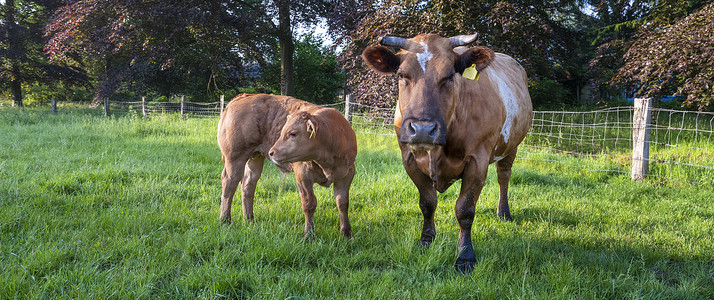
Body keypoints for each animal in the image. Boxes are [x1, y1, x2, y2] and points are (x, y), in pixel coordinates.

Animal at [364, 32, 532, 272]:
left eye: (450, 76)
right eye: (401, 74)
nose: (422, 130)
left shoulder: (478, 161)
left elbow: (465, 210)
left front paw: (465, 256)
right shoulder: (409, 158)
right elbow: (427, 203)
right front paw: (426, 241)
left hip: (512, 146)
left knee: (504, 177)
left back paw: (504, 212)